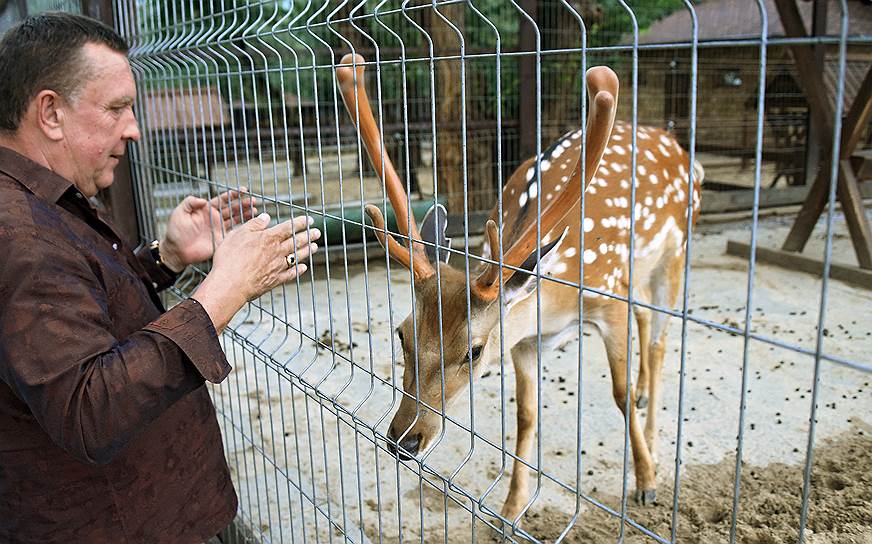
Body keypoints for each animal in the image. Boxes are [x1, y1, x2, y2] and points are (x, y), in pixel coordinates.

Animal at [334, 54, 700, 524]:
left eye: (473, 350)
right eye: (402, 334)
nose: (404, 440)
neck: (557, 301)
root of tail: (679, 148)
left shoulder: (607, 298)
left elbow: (618, 394)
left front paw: (647, 481)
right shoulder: (524, 339)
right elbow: (526, 414)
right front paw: (512, 505)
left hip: (674, 255)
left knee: (658, 340)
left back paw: (651, 439)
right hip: (640, 274)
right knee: (647, 321)